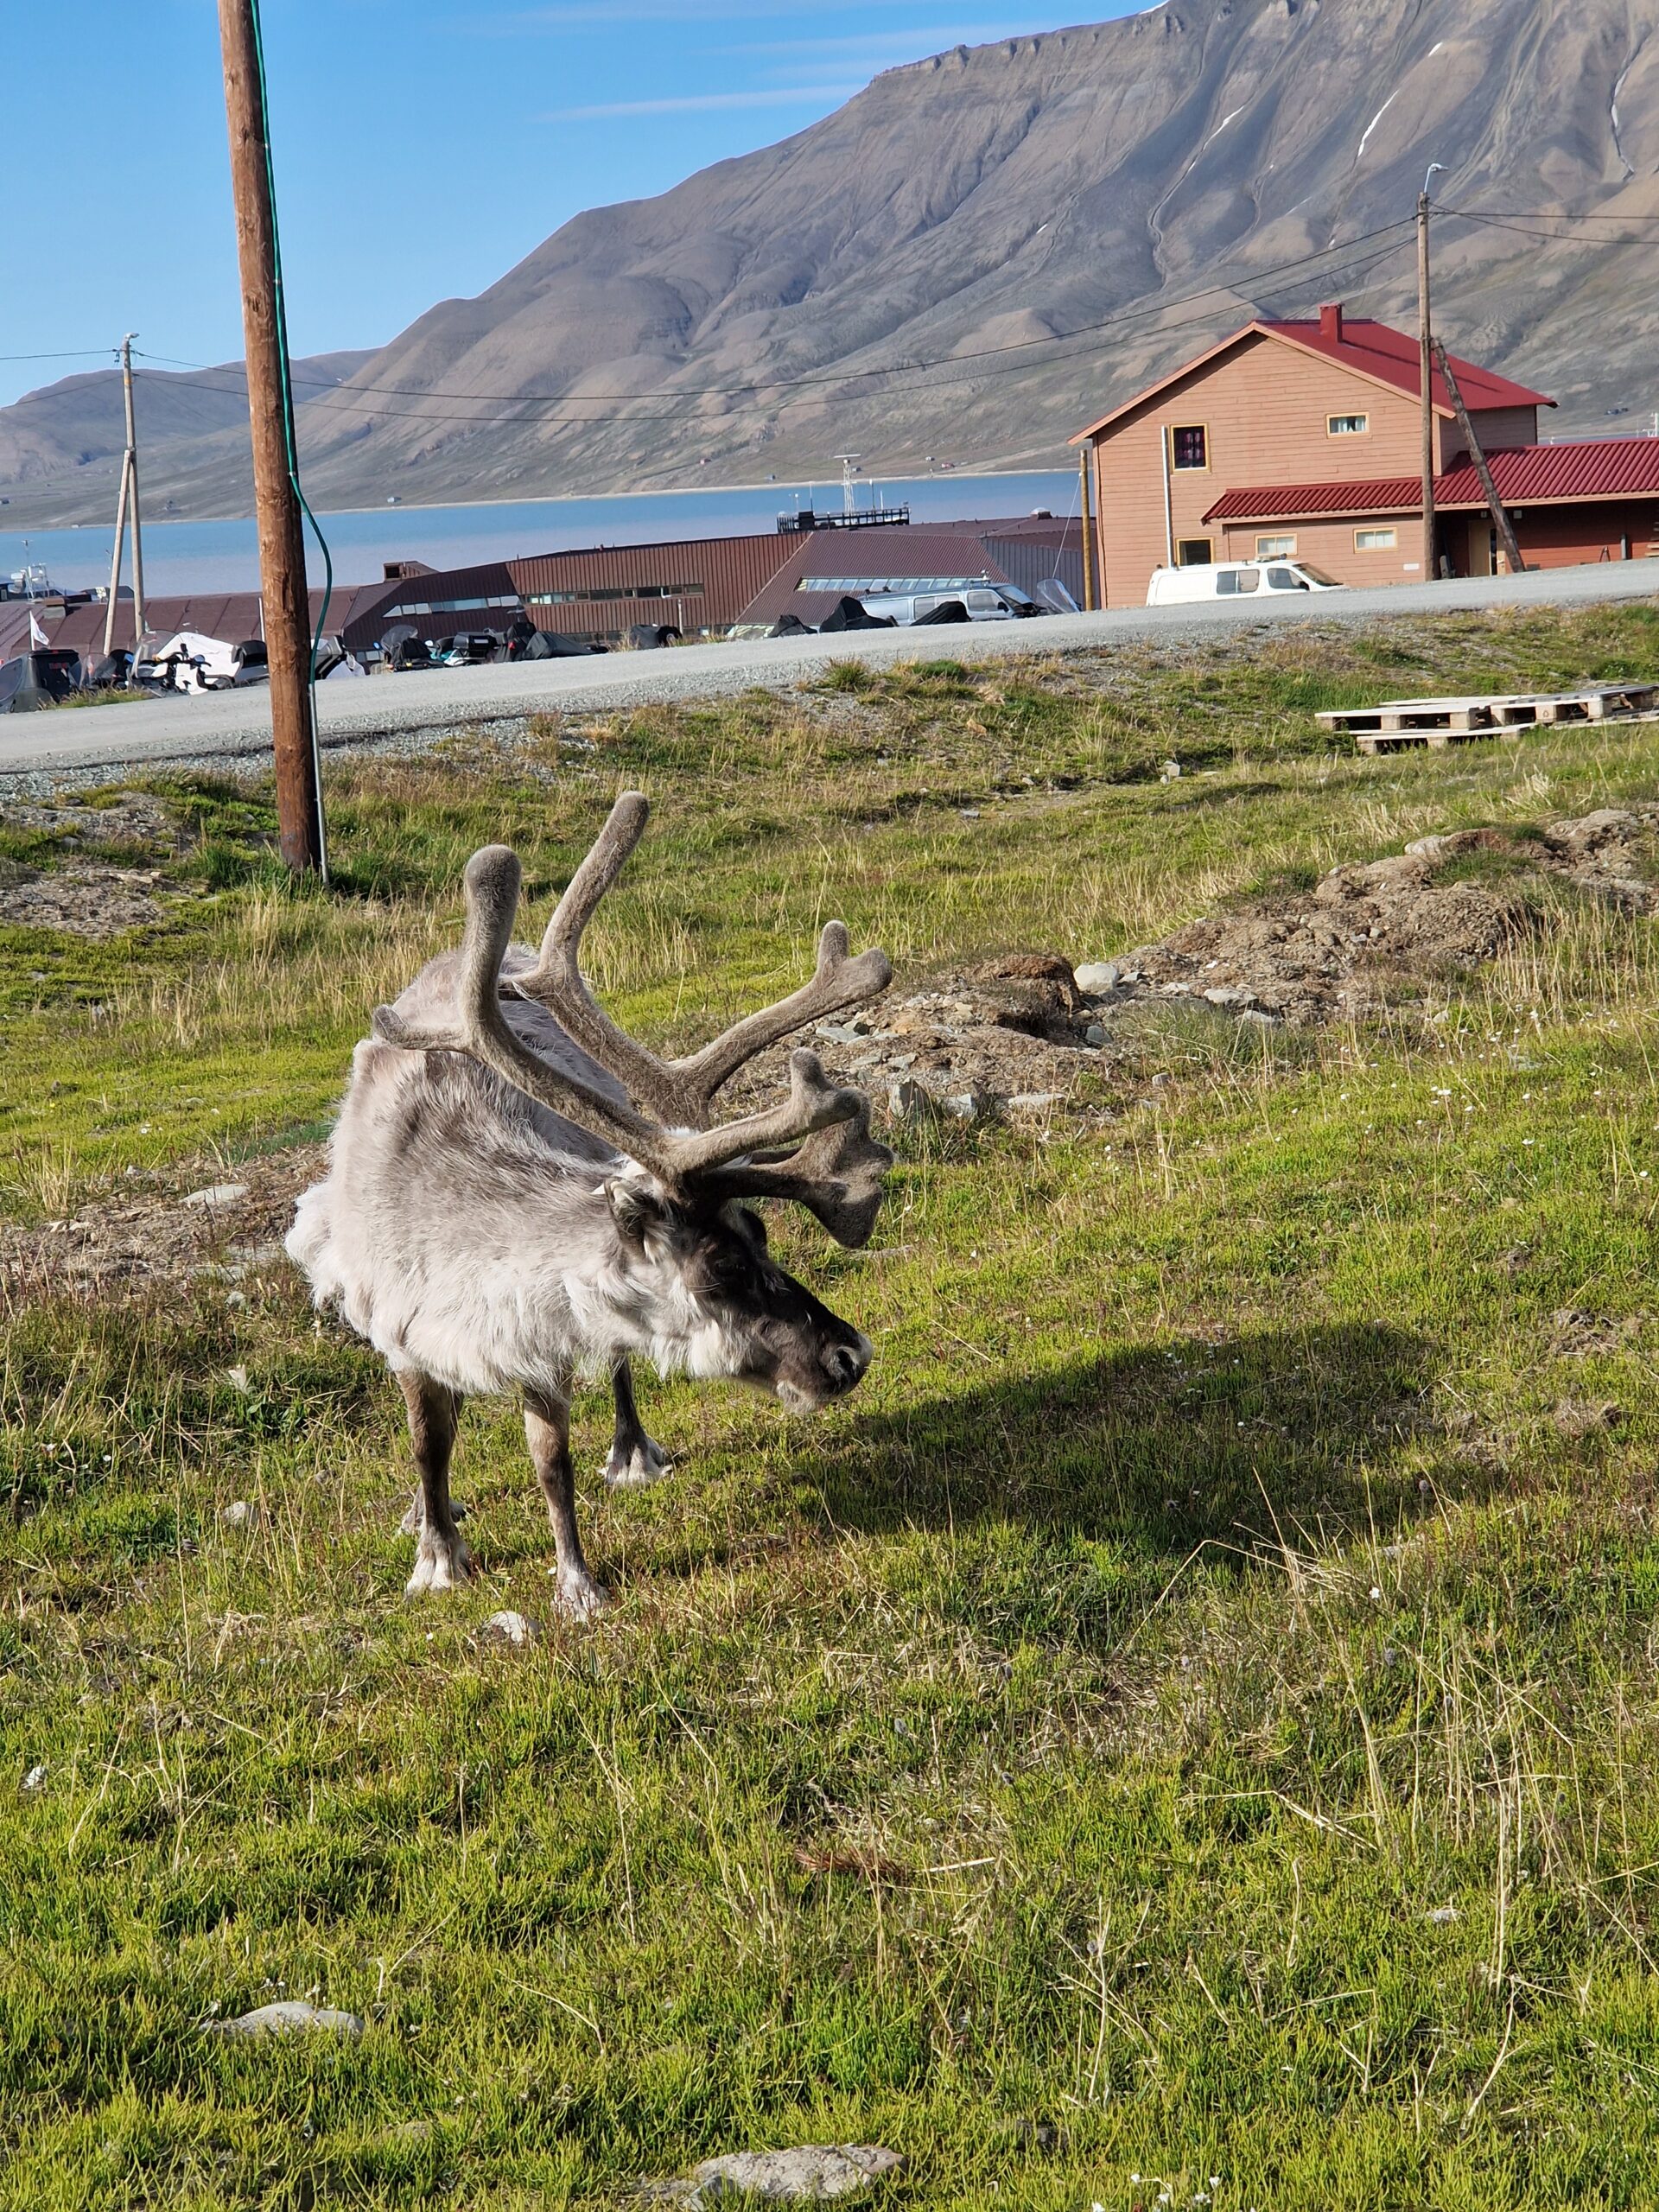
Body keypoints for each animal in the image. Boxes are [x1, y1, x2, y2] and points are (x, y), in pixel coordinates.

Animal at [286, 791, 894, 1618]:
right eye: (720, 1264)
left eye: (762, 1231)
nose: (849, 1353)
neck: (450, 1230)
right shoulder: (407, 1328)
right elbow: (427, 1443)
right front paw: (437, 1553)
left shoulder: (540, 1338)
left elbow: (553, 1464)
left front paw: (576, 1584)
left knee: (617, 1367)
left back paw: (632, 1453)